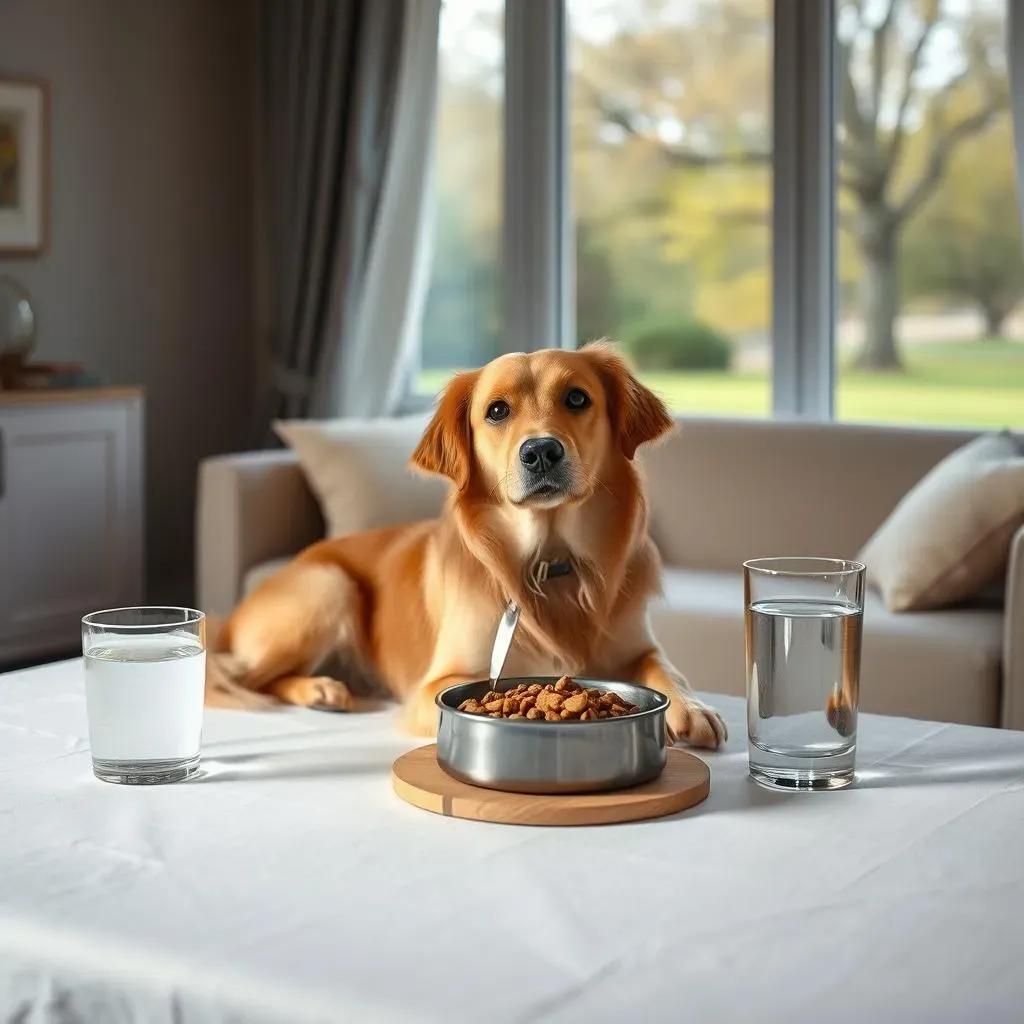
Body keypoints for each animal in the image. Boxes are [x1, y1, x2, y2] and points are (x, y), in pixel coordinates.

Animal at [203, 339, 724, 749]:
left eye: (578, 398)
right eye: (497, 411)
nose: (541, 451)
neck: (550, 559)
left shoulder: (638, 647)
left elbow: (666, 669)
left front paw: (692, 706)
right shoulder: (435, 684)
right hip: (327, 587)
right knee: (240, 676)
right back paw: (319, 689)